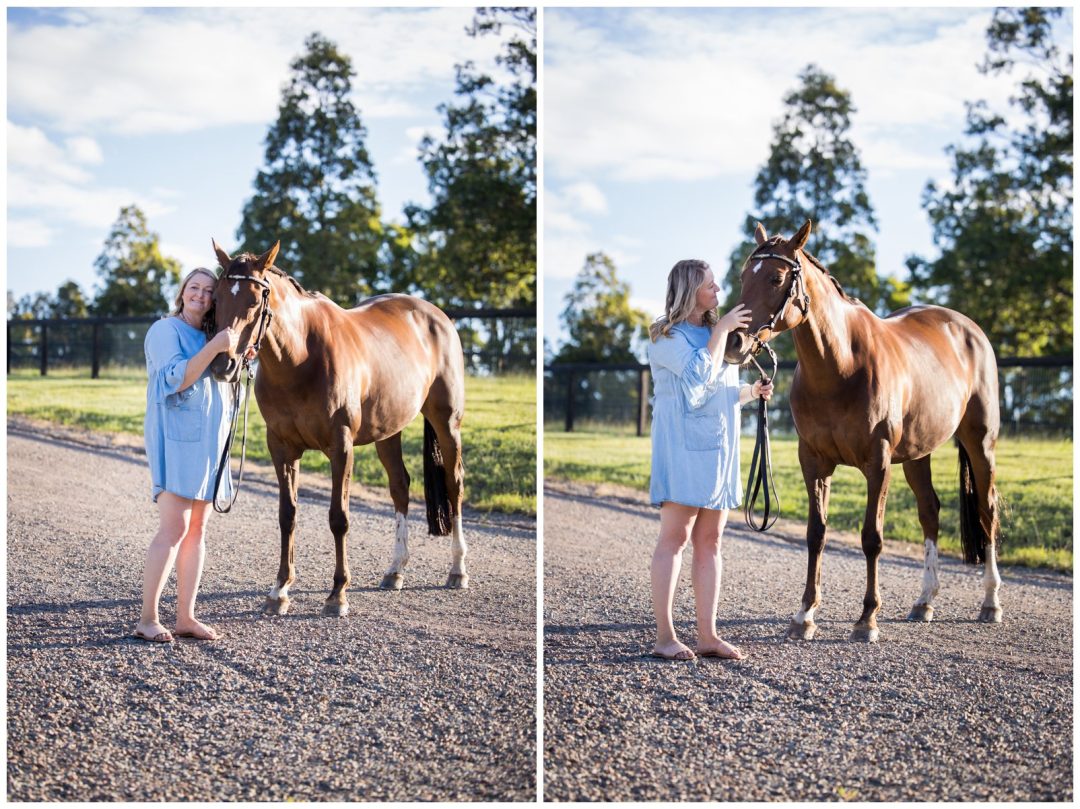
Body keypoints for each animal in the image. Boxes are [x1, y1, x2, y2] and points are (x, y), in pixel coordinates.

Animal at [208, 236, 466, 613]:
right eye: (217, 298)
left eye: (255, 301)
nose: (222, 364)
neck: (300, 358)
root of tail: (437, 316)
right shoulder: (281, 447)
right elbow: (287, 514)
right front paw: (280, 590)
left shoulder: (340, 445)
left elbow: (338, 517)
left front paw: (338, 593)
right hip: (389, 431)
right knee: (400, 486)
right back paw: (395, 571)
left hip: (447, 422)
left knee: (453, 483)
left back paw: (458, 569)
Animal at [725, 222, 1002, 643]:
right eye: (743, 277)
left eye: (776, 278)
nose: (733, 341)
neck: (840, 366)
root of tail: (968, 329)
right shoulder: (814, 462)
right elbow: (816, 533)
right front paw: (804, 615)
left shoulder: (878, 461)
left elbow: (872, 537)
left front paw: (867, 618)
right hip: (918, 454)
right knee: (930, 511)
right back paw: (924, 602)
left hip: (980, 443)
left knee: (987, 511)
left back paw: (990, 601)